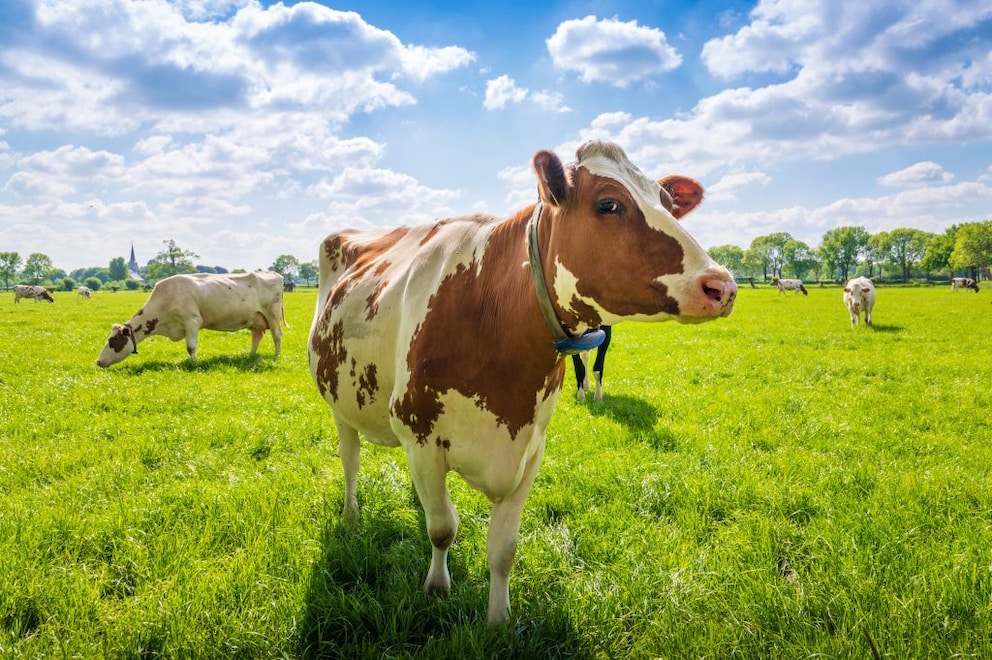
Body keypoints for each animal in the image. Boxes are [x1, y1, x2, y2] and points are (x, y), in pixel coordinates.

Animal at [96, 271, 285, 367]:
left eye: (113, 341)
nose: (98, 361)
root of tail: (274, 274)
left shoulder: (192, 321)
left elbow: (191, 347)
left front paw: (193, 364)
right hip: (254, 318)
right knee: (257, 336)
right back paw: (250, 356)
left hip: (273, 314)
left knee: (277, 335)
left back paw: (276, 356)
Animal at [308, 140, 738, 625]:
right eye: (609, 204)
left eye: (667, 202)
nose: (722, 285)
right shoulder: (420, 436)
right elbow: (442, 529)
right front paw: (437, 587)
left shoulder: (530, 447)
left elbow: (503, 550)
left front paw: (499, 621)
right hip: (339, 404)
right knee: (350, 461)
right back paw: (351, 516)